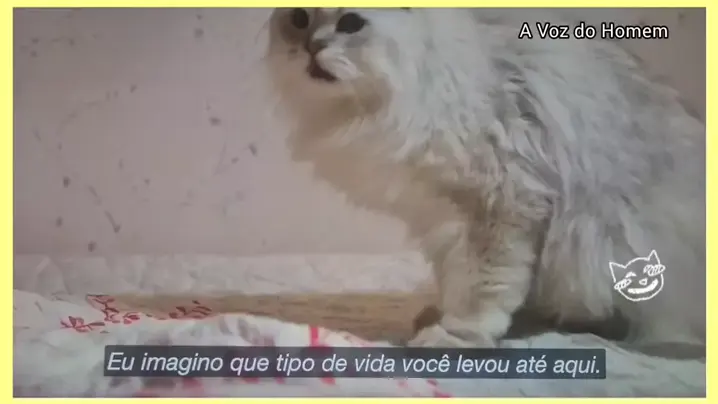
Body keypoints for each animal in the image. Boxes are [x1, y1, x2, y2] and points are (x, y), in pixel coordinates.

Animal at [264, 8, 706, 350]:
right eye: (299, 19)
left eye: (351, 23)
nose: (311, 46)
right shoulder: (442, 216)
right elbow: (455, 280)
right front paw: (437, 317)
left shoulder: (501, 204)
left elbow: (481, 290)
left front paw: (454, 336)